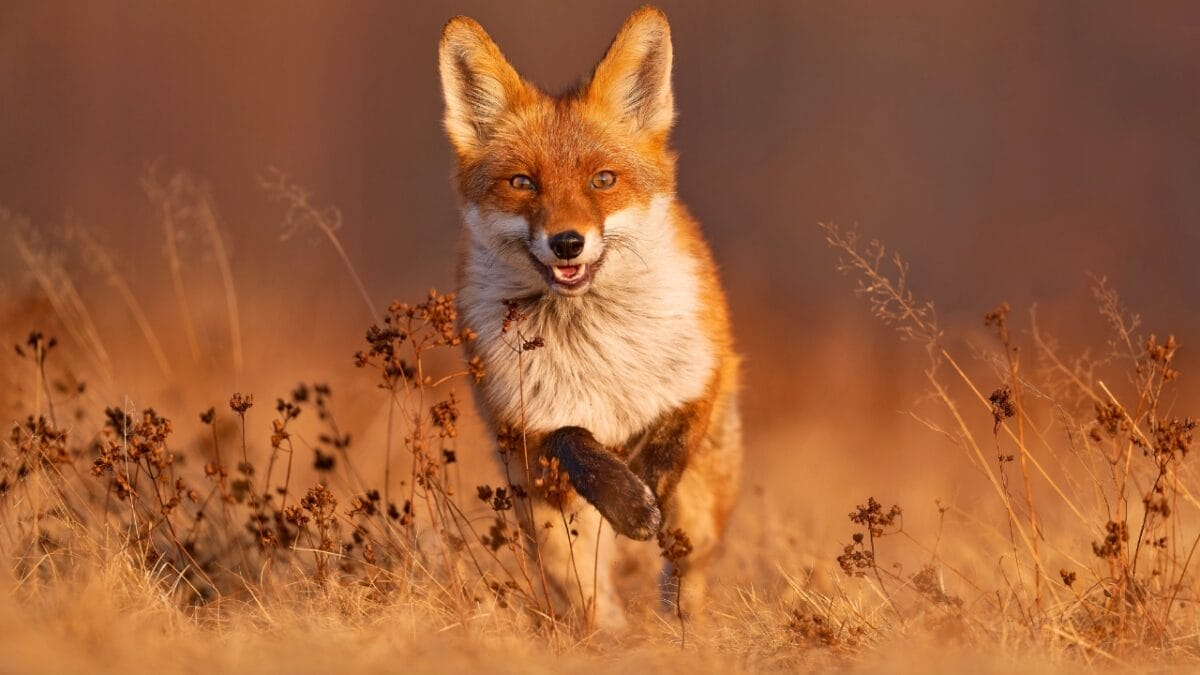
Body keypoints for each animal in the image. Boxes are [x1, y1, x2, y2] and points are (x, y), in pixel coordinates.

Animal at [438, 6, 741, 628]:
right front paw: (627, 500)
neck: (599, 346)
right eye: (522, 182)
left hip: (703, 510)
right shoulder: (525, 427)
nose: (568, 242)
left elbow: (672, 436)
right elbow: (572, 439)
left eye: (603, 179)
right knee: (591, 600)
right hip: (550, 532)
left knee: (685, 576)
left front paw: (645, 489)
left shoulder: (705, 368)